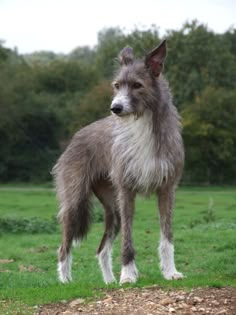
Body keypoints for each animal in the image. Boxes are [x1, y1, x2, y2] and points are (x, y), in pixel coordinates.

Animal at [52, 40, 185, 286]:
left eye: (137, 85)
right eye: (116, 85)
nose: (115, 108)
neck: (142, 123)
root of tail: (76, 137)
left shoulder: (167, 189)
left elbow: (167, 236)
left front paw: (170, 272)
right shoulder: (126, 191)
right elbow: (128, 241)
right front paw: (128, 275)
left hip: (112, 210)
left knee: (101, 250)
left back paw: (108, 281)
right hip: (75, 202)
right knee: (63, 247)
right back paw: (65, 281)